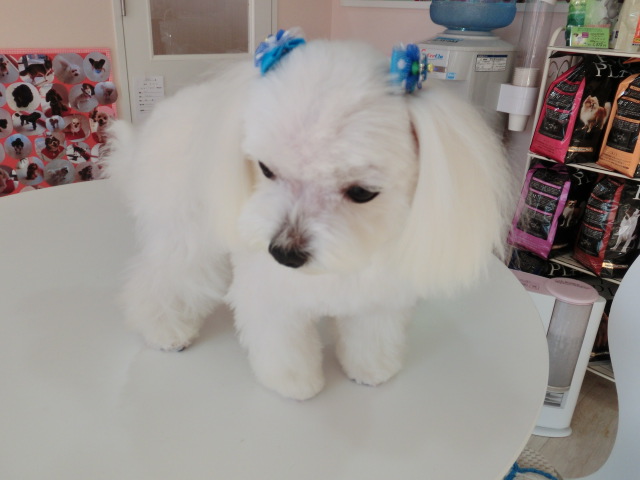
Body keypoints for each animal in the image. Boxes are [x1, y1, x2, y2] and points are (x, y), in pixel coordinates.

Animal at [106, 34, 512, 401]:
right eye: (266, 169)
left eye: (362, 193)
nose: (284, 253)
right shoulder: (271, 295)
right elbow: (284, 346)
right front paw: (295, 384)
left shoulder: (378, 297)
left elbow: (371, 335)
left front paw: (370, 370)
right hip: (186, 230)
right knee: (165, 278)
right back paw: (166, 331)